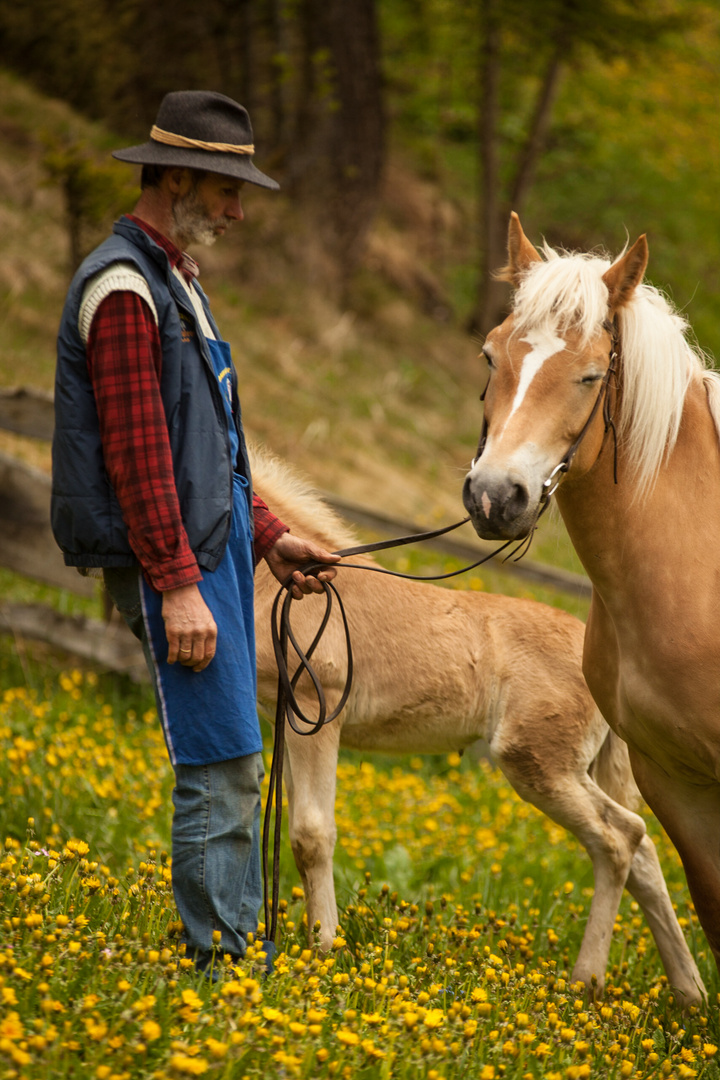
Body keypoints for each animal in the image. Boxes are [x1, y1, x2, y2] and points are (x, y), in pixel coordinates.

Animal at [250, 442, 708, 997]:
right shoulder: (288, 722)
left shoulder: (317, 716)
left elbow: (312, 835)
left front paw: (322, 948)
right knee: (641, 848)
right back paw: (689, 995)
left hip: (538, 764)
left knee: (619, 839)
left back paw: (586, 983)